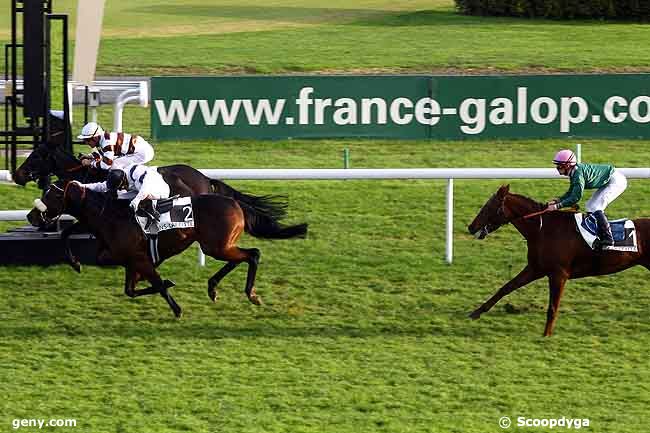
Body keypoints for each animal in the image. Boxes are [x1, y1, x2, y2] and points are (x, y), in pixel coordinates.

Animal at [27, 180, 306, 318]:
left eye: (51, 196)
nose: (31, 216)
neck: (111, 216)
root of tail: (235, 203)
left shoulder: (141, 260)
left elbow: (157, 285)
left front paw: (177, 309)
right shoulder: (132, 261)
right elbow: (131, 290)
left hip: (216, 246)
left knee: (253, 254)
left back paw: (250, 294)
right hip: (219, 245)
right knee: (243, 257)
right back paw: (213, 288)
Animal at [466, 184, 648, 336]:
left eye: (489, 207)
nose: (471, 227)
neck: (542, 229)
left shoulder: (559, 274)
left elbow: (553, 306)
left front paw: (546, 334)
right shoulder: (535, 268)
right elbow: (506, 287)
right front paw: (476, 312)